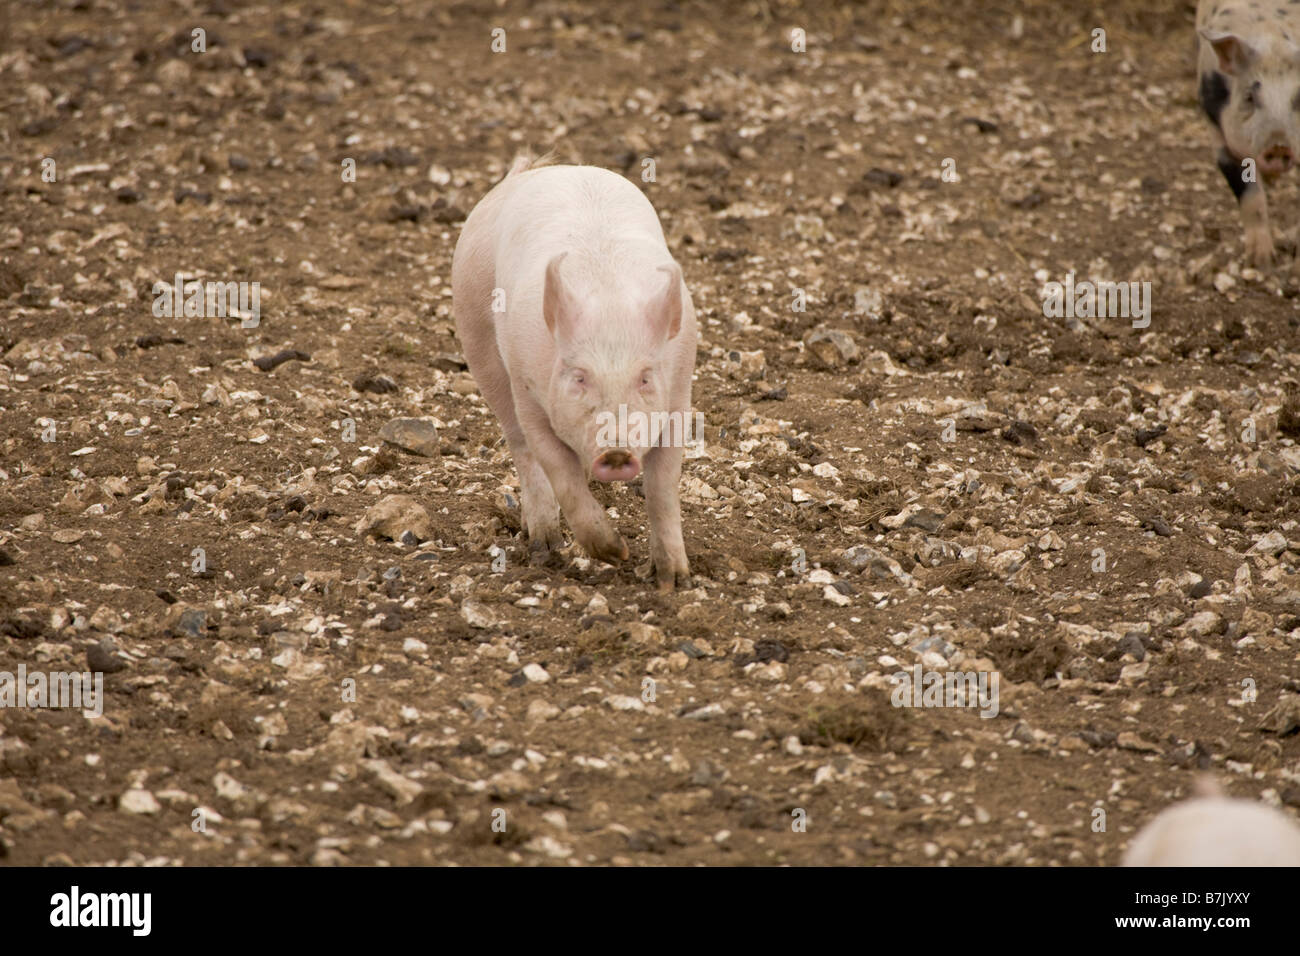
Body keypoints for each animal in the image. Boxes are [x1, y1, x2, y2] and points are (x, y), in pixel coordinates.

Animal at [452, 157, 696, 590]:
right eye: (579, 377)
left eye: (645, 378)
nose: (615, 451)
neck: (610, 307)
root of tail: (531, 172)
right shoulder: (530, 394)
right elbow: (559, 471)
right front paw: (615, 554)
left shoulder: (679, 396)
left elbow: (662, 487)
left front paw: (674, 581)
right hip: (477, 337)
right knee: (520, 448)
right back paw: (542, 544)